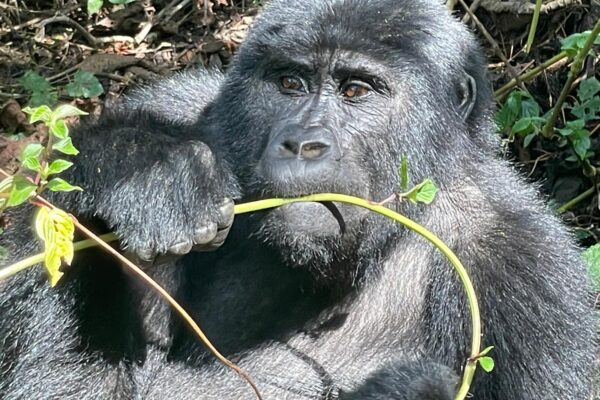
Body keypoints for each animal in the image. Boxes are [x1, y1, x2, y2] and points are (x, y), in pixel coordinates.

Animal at [0, 0, 592, 400]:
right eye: (289, 82)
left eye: (356, 90)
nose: (303, 143)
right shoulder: (190, 105)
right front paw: (142, 168)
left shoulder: (525, 271)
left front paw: (411, 388)